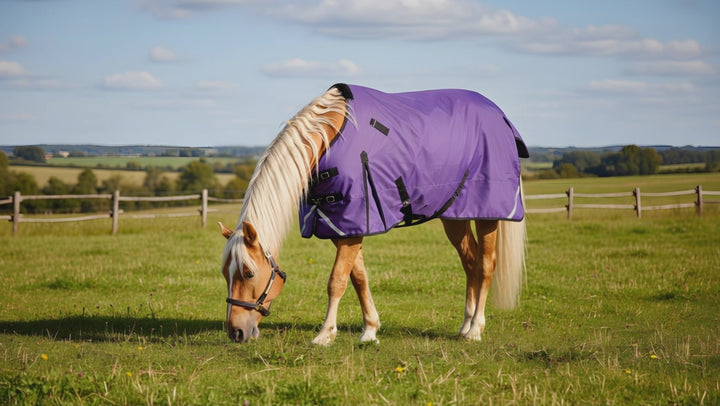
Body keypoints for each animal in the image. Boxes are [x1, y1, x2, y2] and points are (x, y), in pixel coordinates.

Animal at [219, 83, 528, 345]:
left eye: (248, 273)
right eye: (225, 273)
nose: (236, 332)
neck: (329, 140)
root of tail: (499, 115)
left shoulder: (351, 224)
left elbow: (337, 281)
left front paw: (325, 335)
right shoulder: (343, 225)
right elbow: (358, 278)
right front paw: (369, 330)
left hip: (487, 213)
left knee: (485, 264)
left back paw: (475, 329)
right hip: (454, 215)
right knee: (470, 262)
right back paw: (464, 326)